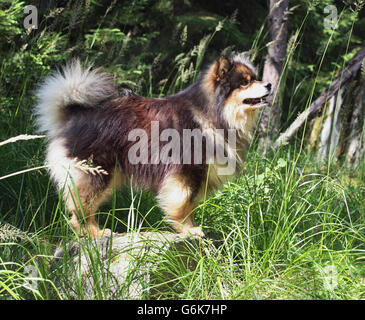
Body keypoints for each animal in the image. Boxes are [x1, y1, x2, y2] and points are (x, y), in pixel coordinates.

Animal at [35, 53, 270, 238]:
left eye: (255, 78)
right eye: (245, 83)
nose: (268, 84)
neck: (212, 113)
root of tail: (74, 114)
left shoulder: (197, 175)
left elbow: (191, 205)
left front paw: (190, 227)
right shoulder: (186, 172)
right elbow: (183, 203)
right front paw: (188, 229)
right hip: (97, 171)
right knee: (81, 207)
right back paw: (94, 232)